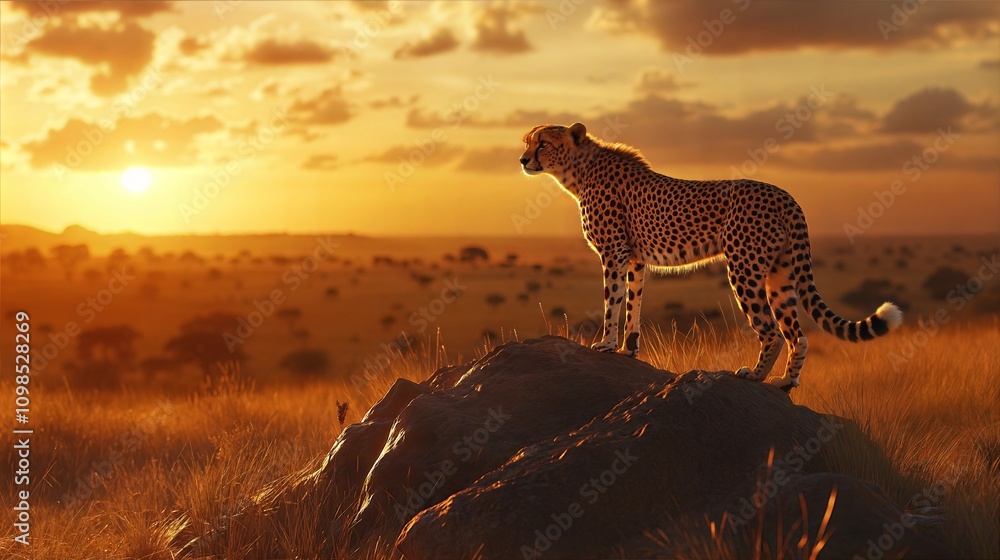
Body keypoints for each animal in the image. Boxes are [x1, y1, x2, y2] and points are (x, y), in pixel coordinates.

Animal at [519, 122, 903, 392]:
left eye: (543, 143)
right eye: (526, 142)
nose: (522, 159)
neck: (579, 171)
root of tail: (785, 194)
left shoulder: (614, 252)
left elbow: (612, 301)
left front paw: (606, 344)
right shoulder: (636, 259)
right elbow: (633, 304)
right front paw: (629, 349)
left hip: (744, 268)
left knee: (771, 330)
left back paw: (754, 376)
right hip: (780, 275)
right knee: (798, 334)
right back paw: (785, 383)